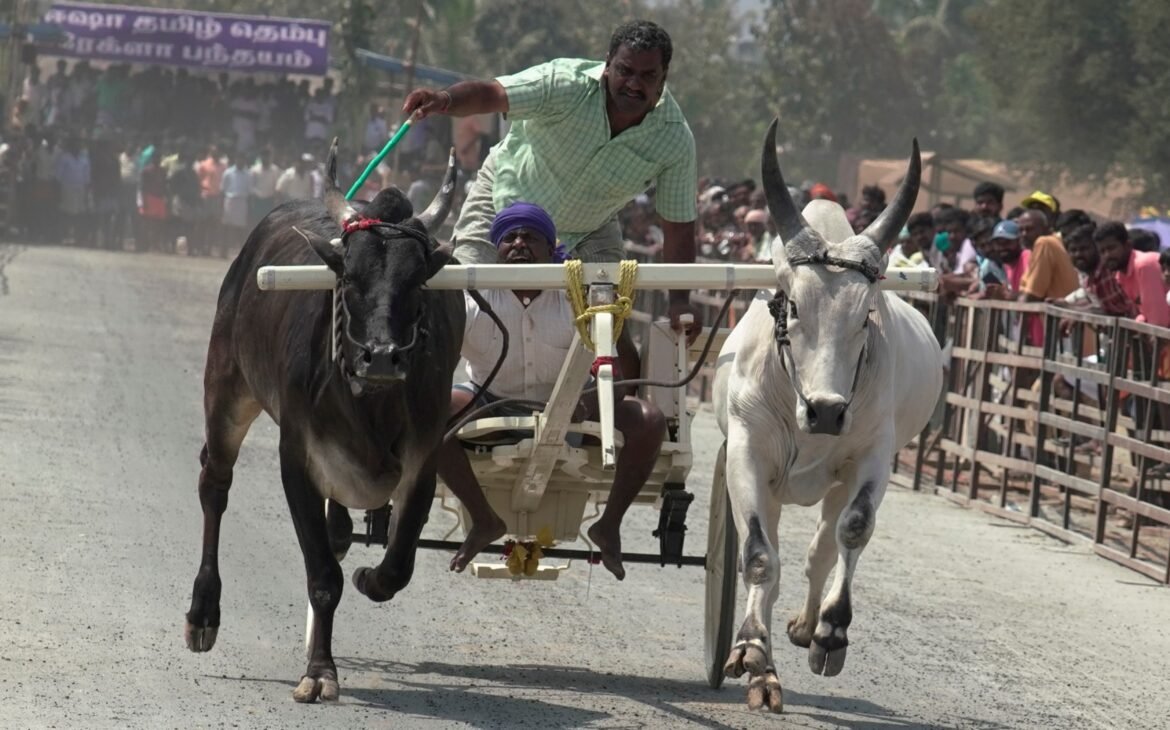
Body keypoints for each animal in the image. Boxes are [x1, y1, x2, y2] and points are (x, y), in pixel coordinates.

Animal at [182, 146, 460, 701]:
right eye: (350, 277)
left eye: (417, 280)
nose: (383, 357)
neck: (368, 401)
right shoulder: (297, 458)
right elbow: (323, 578)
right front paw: (319, 672)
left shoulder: (424, 458)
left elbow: (397, 563)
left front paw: (370, 578)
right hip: (226, 384)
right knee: (214, 485)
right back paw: (203, 613)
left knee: (341, 530)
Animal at [706, 121, 945, 711]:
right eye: (791, 305)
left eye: (866, 317)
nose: (827, 412)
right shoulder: (746, 452)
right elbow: (759, 555)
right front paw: (753, 653)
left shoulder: (874, 457)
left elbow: (852, 531)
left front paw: (830, 634)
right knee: (773, 553)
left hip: (835, 479)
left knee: (822, 546)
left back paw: (805, 626)